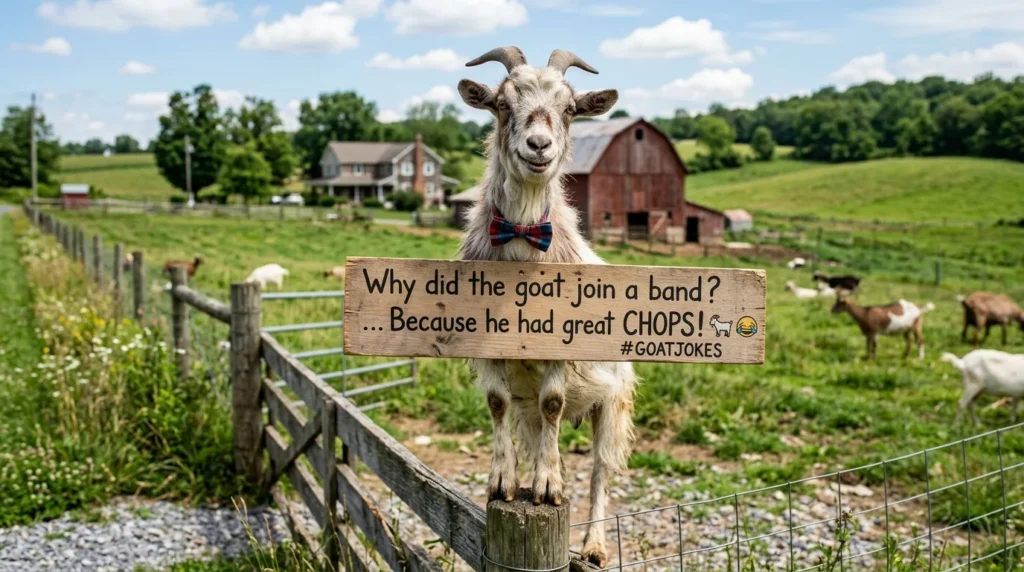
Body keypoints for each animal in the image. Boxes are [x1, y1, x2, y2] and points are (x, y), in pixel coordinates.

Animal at [456, 46, 631, 566]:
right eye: (500, 104)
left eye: (570, 108)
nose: (539, 146)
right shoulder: (488, 354)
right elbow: (495, 403)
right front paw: (504, 482)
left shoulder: (562, 353)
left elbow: (555, 401)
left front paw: (551, 488)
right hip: (528, 411)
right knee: (537, 434)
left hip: (613, 403)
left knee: (600, 472)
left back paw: (593, 545)